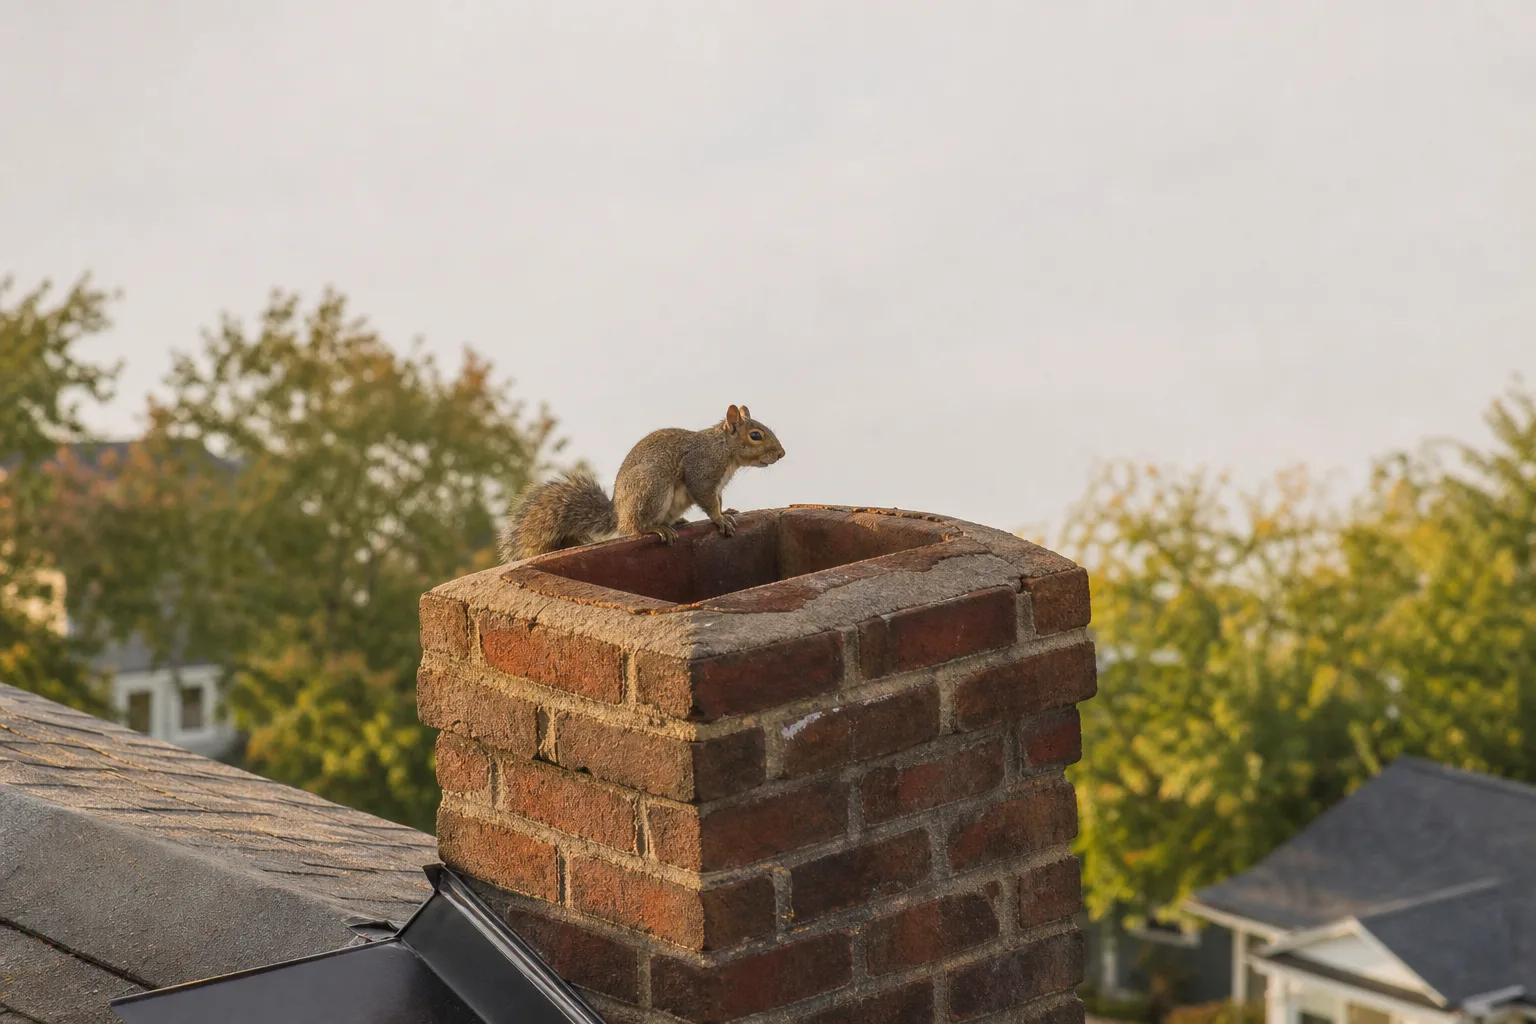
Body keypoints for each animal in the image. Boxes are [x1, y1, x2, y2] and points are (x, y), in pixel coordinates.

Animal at [499, 404, 786, 562]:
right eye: (756, 435)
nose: (782, 454)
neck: (724, 448)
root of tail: (619, 514)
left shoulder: (717, 485)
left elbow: (718, 500)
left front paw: (727, 511)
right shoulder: (702, 472)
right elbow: (707, 501)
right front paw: (720, 519)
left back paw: (677, 522)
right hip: (653, 489)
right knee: (635, 528)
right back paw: (656, 528)